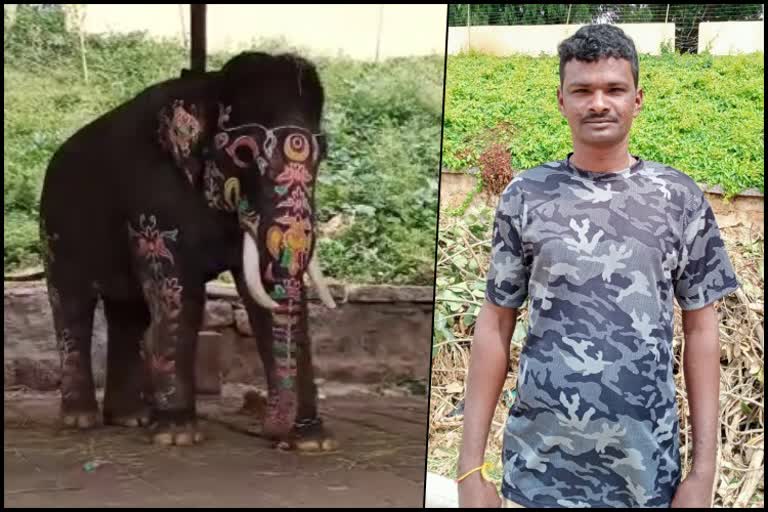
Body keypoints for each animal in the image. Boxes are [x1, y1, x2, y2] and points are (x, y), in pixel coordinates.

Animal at [39, 52, 338, 450]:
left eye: (324, 154)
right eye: (243, 153)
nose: (270, 432)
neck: (209, 87)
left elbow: (256, 292)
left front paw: (313, 443)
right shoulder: (154, 202)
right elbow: (178, 292)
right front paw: (177, 436)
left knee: (128, 313)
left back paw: (130, 419)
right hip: (55, 230)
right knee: (71, 304)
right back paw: (81, 420)